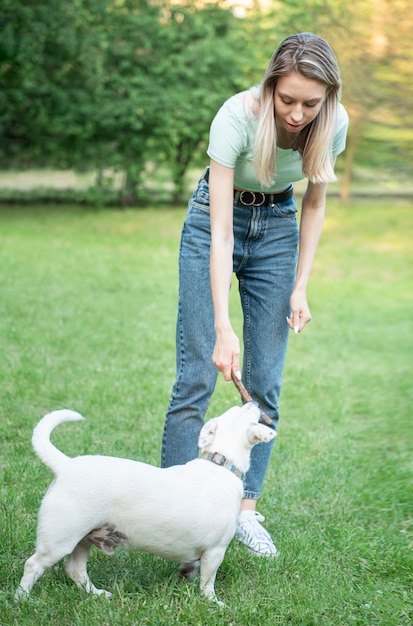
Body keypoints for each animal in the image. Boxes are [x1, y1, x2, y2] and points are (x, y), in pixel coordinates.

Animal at [16, 402, 276, 604]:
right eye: (244, 410)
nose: (253, 401)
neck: (221, 462)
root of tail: (65, 465)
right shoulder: (215, 551)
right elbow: (207, 582)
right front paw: (212, 602)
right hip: (59, 539)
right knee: (33, 565)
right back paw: (23, 600)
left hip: (84, 538)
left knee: (75, 570)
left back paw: (97, 594)